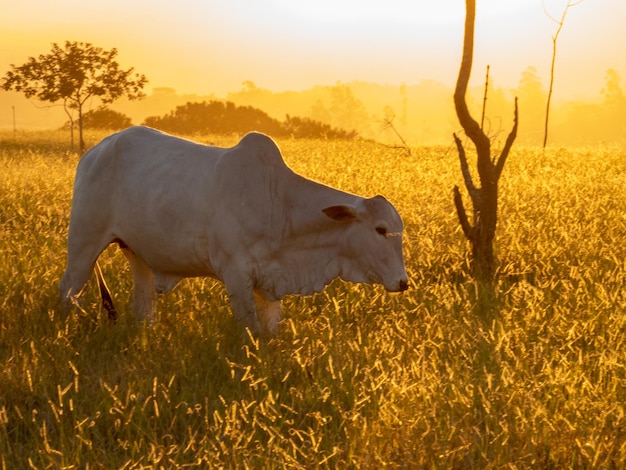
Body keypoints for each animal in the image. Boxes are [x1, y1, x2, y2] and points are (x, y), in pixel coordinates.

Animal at [59, 126, 410, 336]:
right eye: (380, 230)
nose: (404, 282)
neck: (279, 203)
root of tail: (96, 150)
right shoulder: (236, 275)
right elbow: (251, 331)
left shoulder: (269, 284)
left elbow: (269, 333)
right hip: (84, 242)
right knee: (68, 290)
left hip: (136, 252)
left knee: (143, 305)